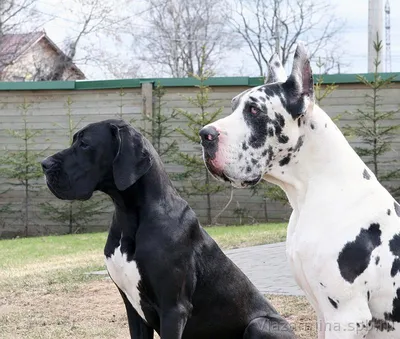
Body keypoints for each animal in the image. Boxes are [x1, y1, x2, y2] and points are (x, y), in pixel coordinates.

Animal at [42, 120, 296, 339]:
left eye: (84, 144)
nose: (44, 164)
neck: (129, 216)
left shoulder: (174, 309)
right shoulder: (133, 308)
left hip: (259, 325)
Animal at [202, 43, 400, 339]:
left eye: (254, 110)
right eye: (233, 106)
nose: (205, 135)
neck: (310, 195)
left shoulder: (347, 316)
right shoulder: (324, 314)